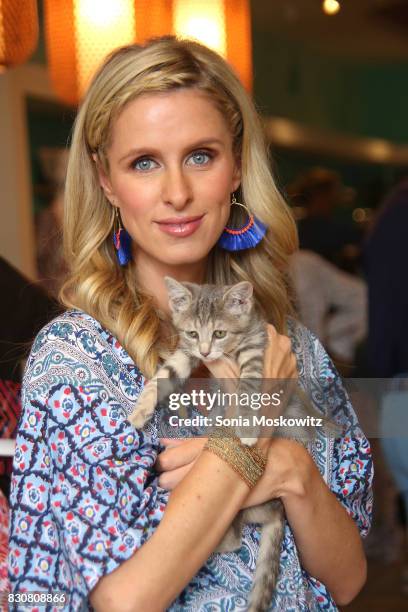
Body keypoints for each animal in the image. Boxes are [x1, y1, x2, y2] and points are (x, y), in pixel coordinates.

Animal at [127, 278, 302, 612]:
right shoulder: (186, 353)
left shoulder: (255, 345)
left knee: (233, 540)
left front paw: (247, 426)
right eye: (194, 334)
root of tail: (278, 509)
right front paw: (141, 409)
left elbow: (248, 385)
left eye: (220, 333)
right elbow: (164, 374)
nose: (207, 352)